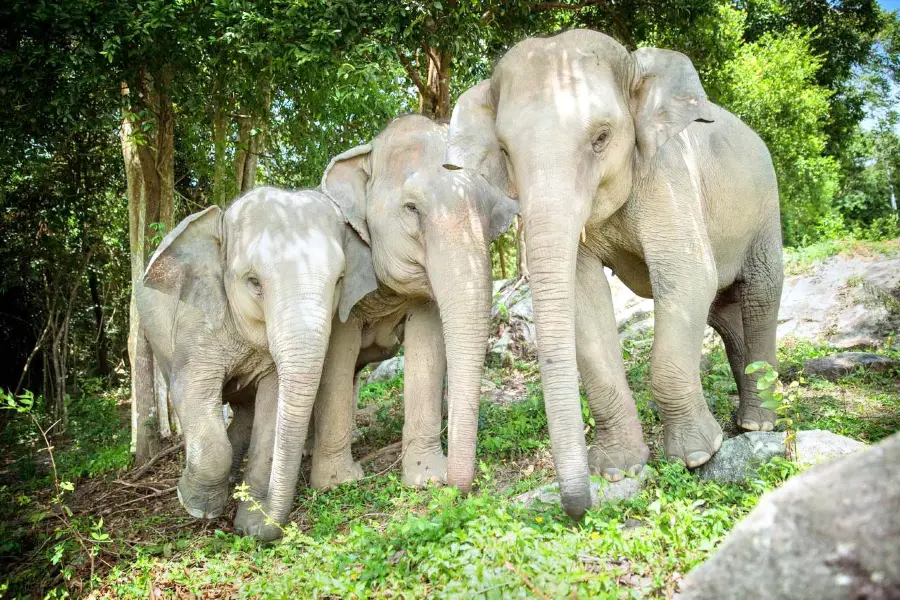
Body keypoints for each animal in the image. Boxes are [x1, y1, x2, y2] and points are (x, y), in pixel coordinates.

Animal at [139, 186, 378, 524]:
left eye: (340, 281)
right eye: (253, 282)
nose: (260, 526)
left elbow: (271, 403)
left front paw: (250, 517)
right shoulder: (197, 321)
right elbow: (191, 391)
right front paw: (197, 507)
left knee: (245, 409)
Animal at [446, 30, 784, 520]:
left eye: (601, 138)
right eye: (505, 152)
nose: (577, 509)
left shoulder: (666, 171)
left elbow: (687, 276)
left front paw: (698, 455)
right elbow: (584, 299)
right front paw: (617, 470)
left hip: (764, 206)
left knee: (759, 292)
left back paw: (758, 423)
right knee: (723, 310)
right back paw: (743, 421)